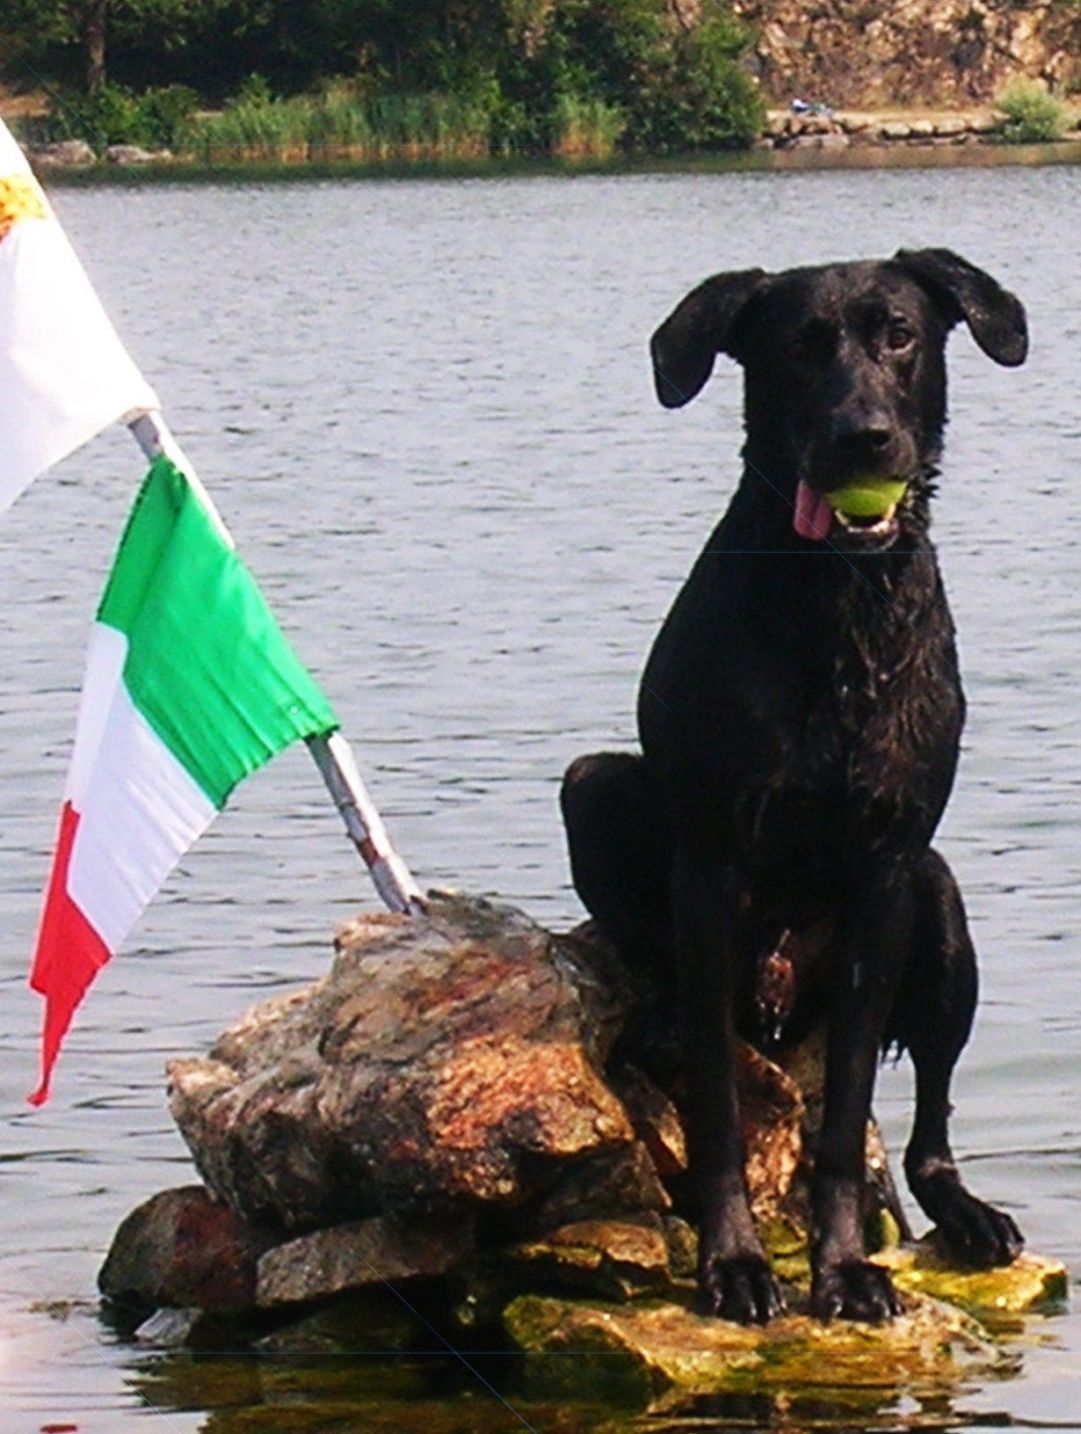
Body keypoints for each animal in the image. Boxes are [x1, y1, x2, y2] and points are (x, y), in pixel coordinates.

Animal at [564, 243, 1026, 1319]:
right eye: (797, 350)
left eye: (899, 335)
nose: (864, 437)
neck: (838, 613)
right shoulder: (708, 865)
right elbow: (719, 1108)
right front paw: (732, 1261)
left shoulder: (888, 871)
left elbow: (847, 1116)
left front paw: (844, 1267)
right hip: (592, 789)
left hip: (941, 902)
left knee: (929, 1131)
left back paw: (969, 1212)